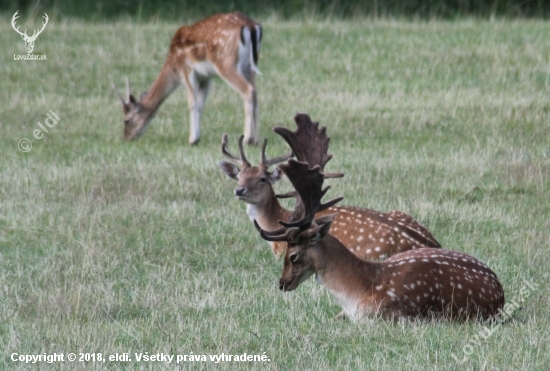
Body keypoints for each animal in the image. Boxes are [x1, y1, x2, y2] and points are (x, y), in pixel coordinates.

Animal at [113, 12, 262, 145]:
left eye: (126, 120)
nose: (126, 138)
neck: (172, 65)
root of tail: (251, 26)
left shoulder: (186, 70)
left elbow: (192, 102)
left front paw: (192, 140)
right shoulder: (206, 77)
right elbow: (201, 104)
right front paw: (198, 137)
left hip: (226, 62)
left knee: (248, 90)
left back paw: (248, 139)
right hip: (249, 66)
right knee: (255, 92)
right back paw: (255, 140)